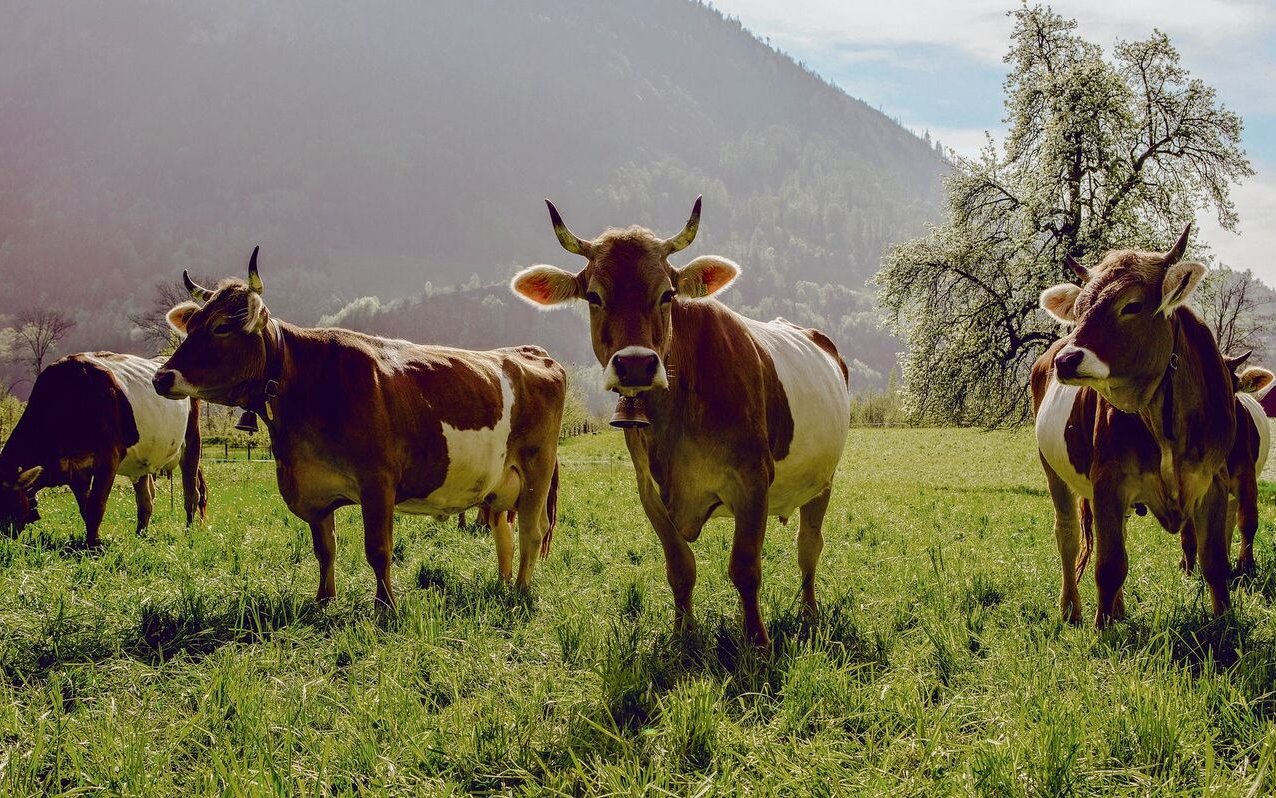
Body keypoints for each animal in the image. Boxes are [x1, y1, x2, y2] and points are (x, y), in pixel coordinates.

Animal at [0, 352, 204, 543]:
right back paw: (140, 535)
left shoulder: (108, 458)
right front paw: (94, 540)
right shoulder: (75, 471)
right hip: (143, 461)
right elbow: (86, 509)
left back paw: (189, 532)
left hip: (192, 441)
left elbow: (96, 505)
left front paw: (92, 546)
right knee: (146, 500)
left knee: (191, 493)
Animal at [154, 248, 563, 610]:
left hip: (535, 471)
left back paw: (521, 591)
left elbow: (378, 550)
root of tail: (531, 352)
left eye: (222, 326)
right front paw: (324, 600)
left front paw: (386, 607)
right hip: (500, 484)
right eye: (191, 325)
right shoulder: (316, 490)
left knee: (532, 530)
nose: (161, 377)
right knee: (504, 532)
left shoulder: (378, 482)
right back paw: (503, 584)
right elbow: (325, 549)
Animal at [507, 194, 847, 648]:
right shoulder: (649, 491)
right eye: (594, 296)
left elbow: (745, 568)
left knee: (809, 546)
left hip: (822, 482)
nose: (635, 365)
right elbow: (680, 568)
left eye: (667, 294)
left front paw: (757, 641)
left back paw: (809, 610)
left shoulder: (753, 480)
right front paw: (683, 634)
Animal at [1036, 225, 1235, 628]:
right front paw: (1102, 629)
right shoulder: (1108, 481)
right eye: (1078, 311)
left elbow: (1215, 563)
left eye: (1131, 306)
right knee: (1067, 534)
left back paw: (1119, 609)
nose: (1067, 359)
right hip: (1054, 471)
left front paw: (1225, 621)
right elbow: (1109, 565)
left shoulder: (1214, 481)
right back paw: (1072, 609)